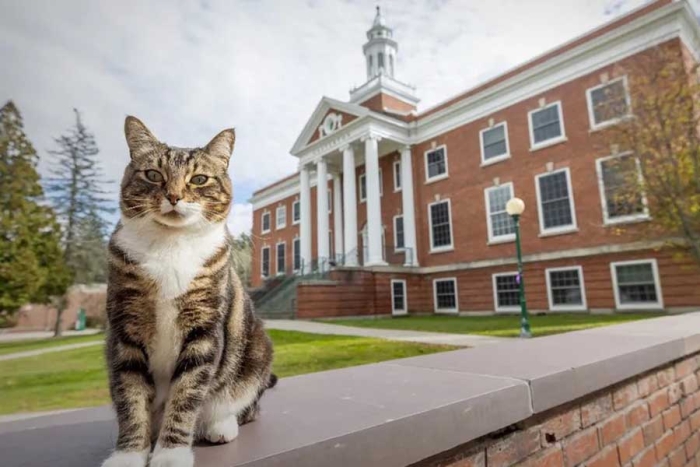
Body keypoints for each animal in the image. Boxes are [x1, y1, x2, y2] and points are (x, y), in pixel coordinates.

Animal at [102, 117, 276, 467]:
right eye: (153, 174)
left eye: (199, 179)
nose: (174, 196)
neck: (171, 246)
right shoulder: (125, 332)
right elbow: (131, 400)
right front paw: (129, 454)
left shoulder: (204, 330)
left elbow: (186, 395)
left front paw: (171, 453)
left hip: (257, 351)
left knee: (246, 406)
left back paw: (221, 424)